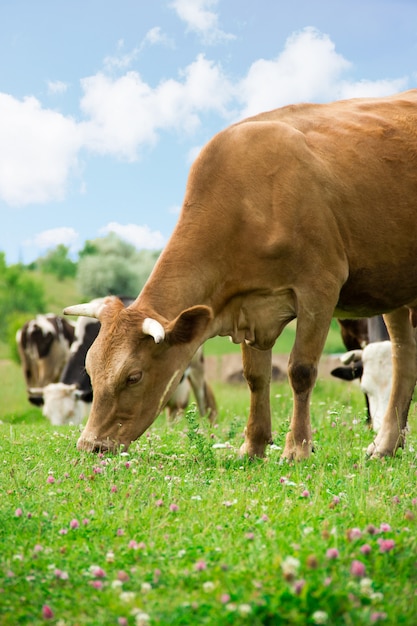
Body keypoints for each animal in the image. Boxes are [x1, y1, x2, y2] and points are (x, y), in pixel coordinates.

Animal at [63, 89, 416, 458]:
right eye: (91, 368)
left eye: (134, 376)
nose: (90, 445)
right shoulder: (250, 304)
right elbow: (255, 376)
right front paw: (253, 446)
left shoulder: (319, 288)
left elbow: (301, 370)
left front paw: (297, 449)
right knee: (404, 356)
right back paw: (386, 445)